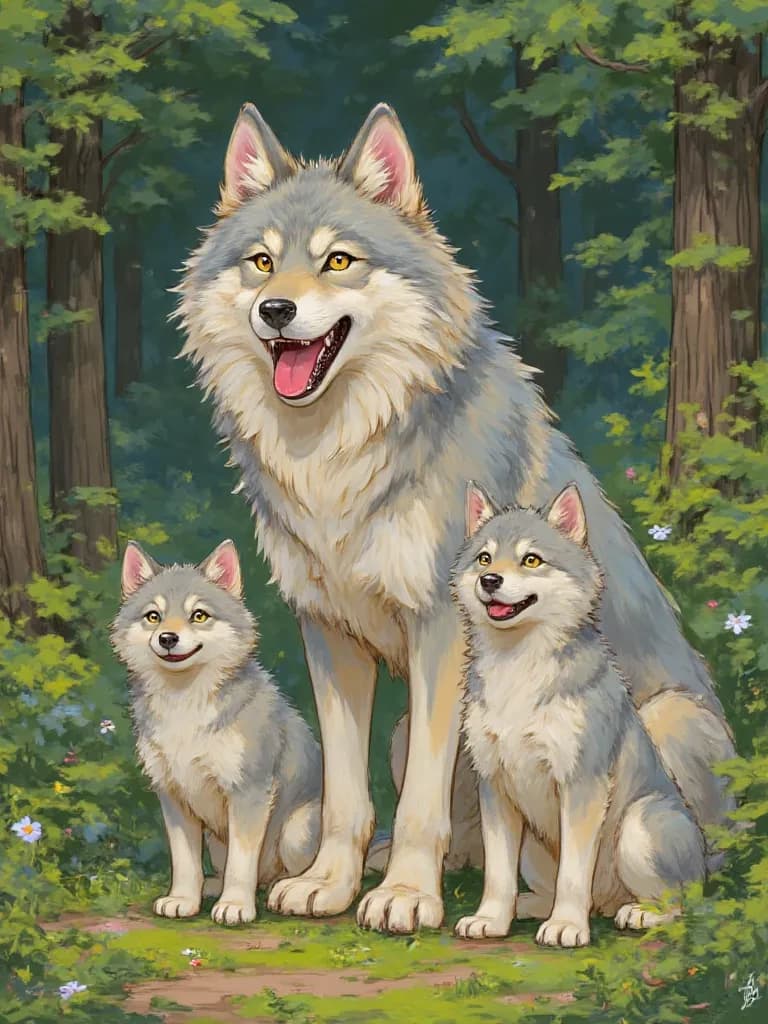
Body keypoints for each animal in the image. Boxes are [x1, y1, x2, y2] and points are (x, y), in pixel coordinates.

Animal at [111, 539, 321, 926]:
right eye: (153, 616)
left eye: (199, 615)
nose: (167, 638)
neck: (184, 704)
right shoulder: (173, 796)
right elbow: (184, 862)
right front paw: (183, 899)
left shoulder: (248, 793)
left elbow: (241, 863)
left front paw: (236, 906)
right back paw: (212, 886)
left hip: (295, 831)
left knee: (279, 873)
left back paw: (275, 890)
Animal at [452, 482, 706, 947]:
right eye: (484, 558)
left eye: (531, 560)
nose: (489, 581)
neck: (518, 667)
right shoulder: (494, 785)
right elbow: (498, 874)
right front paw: (491, 919)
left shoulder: (581, 784)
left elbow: (573, 874)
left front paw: (567, 926)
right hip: (534, 849)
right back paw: (530, 907)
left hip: (638, 827)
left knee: (680, 904)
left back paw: (637, 913)